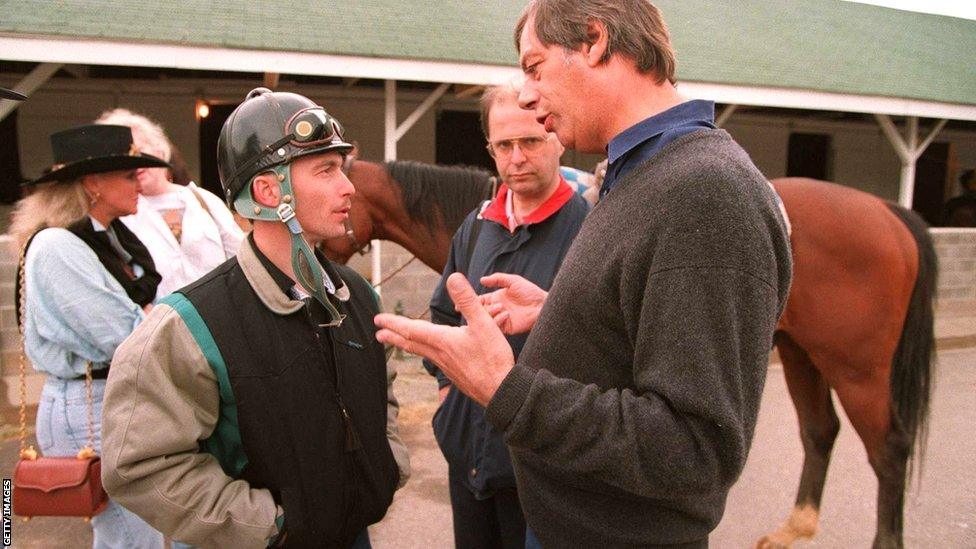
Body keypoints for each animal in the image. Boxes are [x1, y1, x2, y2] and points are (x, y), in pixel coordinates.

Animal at [330, 157, 936, 544]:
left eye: (341, 194)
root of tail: (889, 212)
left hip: (857, 366)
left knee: (889, 450)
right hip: (804, 353)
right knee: (820, 432)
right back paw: (795, 528)